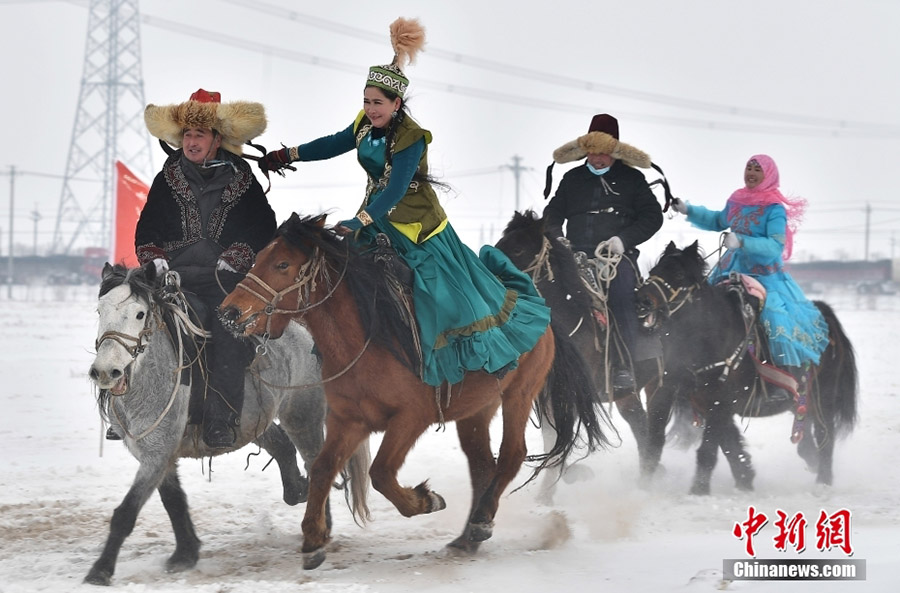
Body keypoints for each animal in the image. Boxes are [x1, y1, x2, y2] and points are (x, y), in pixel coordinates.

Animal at [82, 264, 368, 588]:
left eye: (140, 313)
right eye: (100, 310)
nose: (107, 371)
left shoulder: (157, 455)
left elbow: (126, 512)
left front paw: (100, 570)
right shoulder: (157, 455)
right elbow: (174, 501)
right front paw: (185, 554)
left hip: (302, 416)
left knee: (317, 464)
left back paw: (318, 533)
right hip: (254, 421)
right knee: (282, 446)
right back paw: (296, 491)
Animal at [218, 214, 604, 568]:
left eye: (282, 264)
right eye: (257, 258)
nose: (229, 312)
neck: (367, 339)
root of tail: (540, 309)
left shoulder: (410, 418)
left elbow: (380, 473)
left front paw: (425, 501)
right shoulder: (349, 421)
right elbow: (324, 468)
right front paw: (313, 539)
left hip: (519, 395)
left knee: (511, 455)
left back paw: (481, 522)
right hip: (476, 410)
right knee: (483, 466)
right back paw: (466, 538)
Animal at [496, 212, 656, 490]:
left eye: (517, 248)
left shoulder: (568, 395)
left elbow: (562, 439)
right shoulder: (545, 396)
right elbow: (553, 440)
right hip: (628, 396)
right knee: (641, 425)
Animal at [632, 240, 856, 494]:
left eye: (679, 274)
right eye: (653, 271)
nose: (641, 301)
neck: (710, 335)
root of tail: (825, 316)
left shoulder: (720, 402)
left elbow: (708, 450)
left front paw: (699, 490)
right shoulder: (707, 402)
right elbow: (729, 444)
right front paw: (745, 479)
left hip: (823, 399)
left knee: (825, 435)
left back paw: (823, 483)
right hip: (799, 400)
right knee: (806, 435)